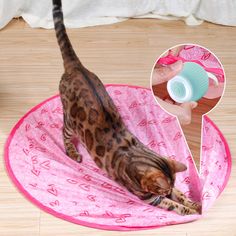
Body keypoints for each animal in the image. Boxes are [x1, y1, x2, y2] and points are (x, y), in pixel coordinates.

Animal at [52, 0, 201, 216]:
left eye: (169, 188)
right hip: (71, 120)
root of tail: (76, 66)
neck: (137, 155)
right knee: (63, 131)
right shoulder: (151, 198)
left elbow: (180, 195)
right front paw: (192, 211)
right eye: (161, 191)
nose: (167, 191)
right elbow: (176, 205)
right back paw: (72, 152)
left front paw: (194, 203)